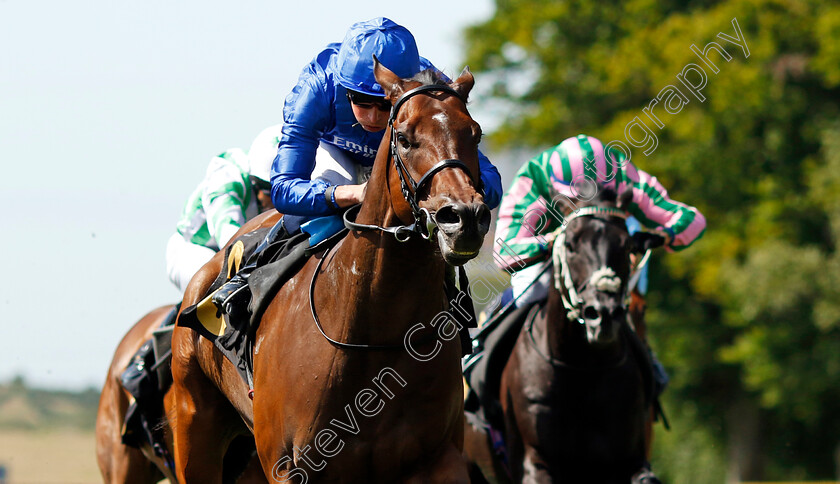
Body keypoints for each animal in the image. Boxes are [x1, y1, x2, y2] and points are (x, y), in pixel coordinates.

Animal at [167, 60, 488, 484]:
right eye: (404, 138)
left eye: (475, 134)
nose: (463, 216)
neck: (372, 333)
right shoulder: (292, 466)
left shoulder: (439, 459)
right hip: (195, 427)